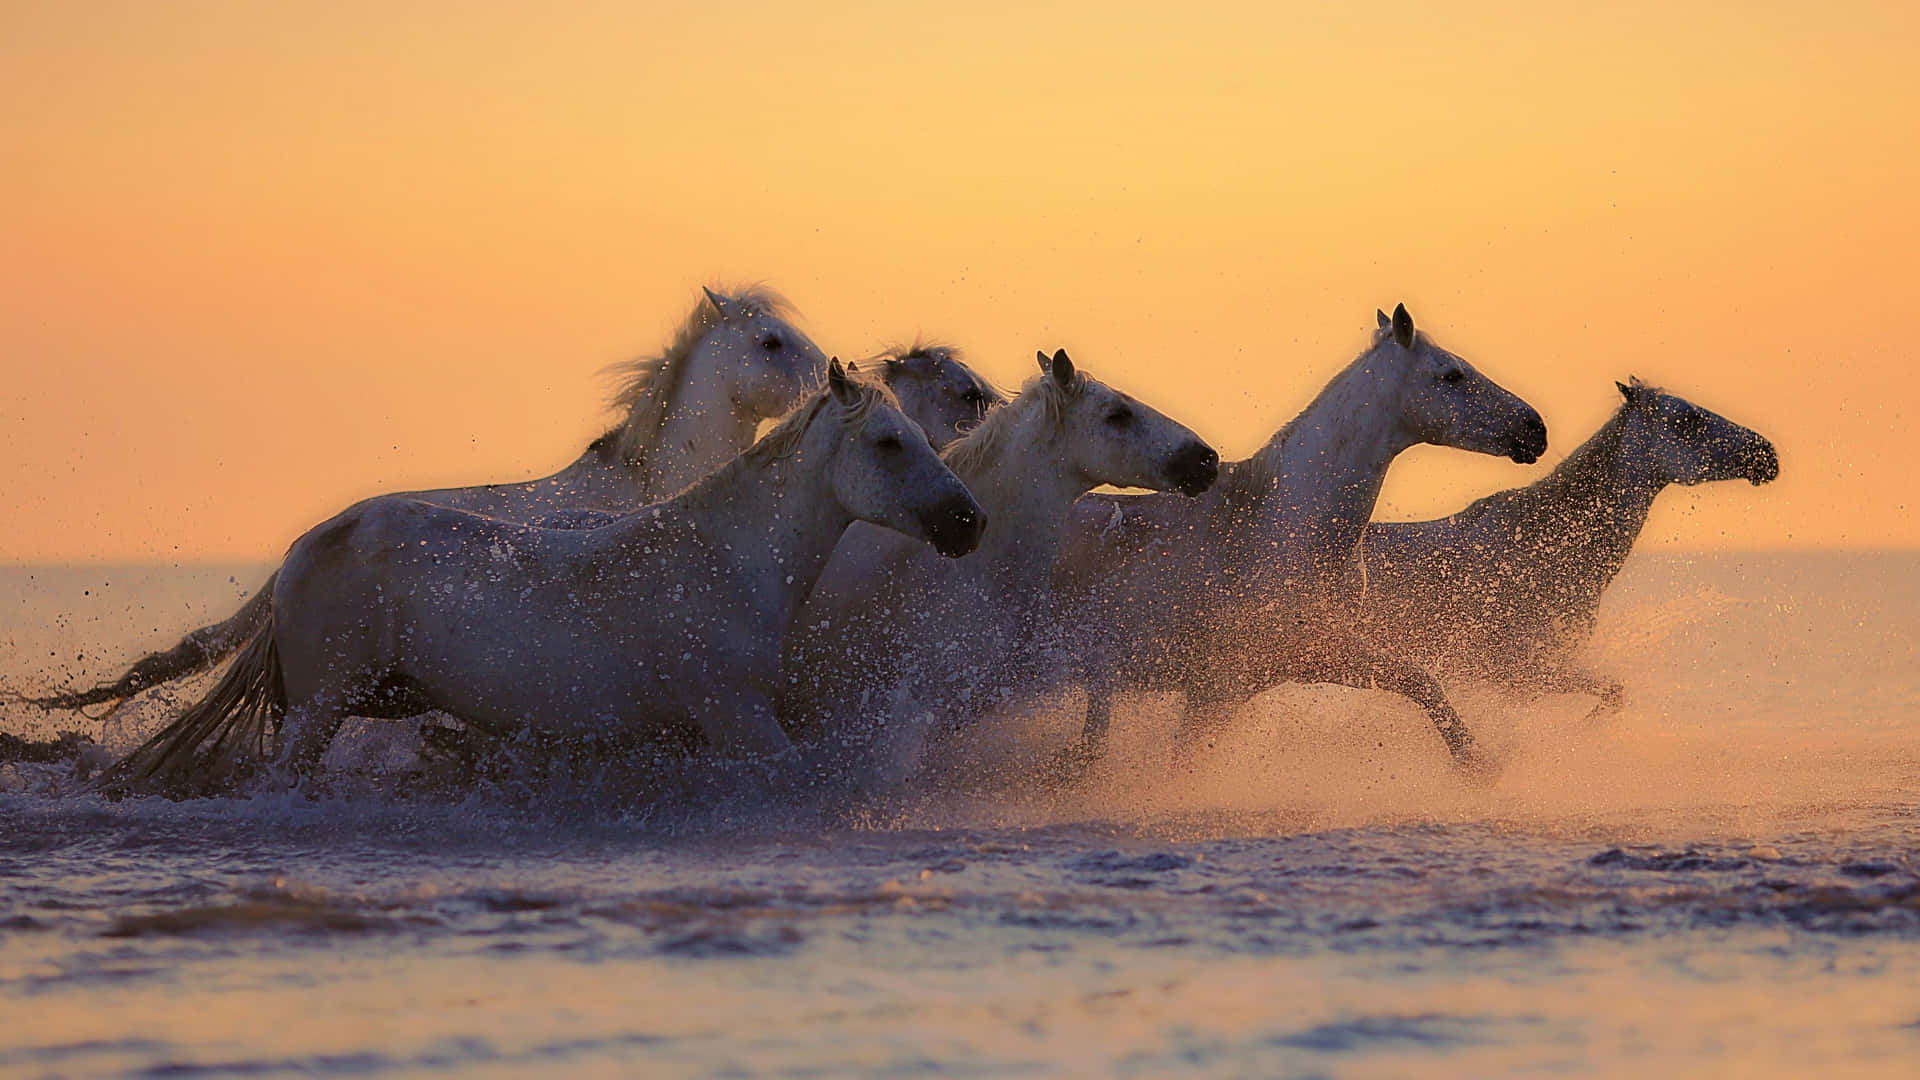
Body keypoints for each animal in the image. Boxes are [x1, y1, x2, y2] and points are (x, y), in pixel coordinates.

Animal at [95, 365, 983, 795]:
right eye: (889, 442)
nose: (967, 521)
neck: (720, 560)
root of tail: (306, 546)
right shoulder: (737, 716)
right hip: (318, 711)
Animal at [1044, 305, 1551, 772]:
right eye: (1451, 374)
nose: (1534, 429)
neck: (1286, 530)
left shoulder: (1314, 656)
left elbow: (1418, 680)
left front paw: (1476, 765)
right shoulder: (1217, 687)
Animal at [1351, 380, 1781, 707]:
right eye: (1689, 418)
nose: (1766, 454)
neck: (1548, 548)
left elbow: (1612, 694)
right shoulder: (1519, 673)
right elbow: (1608, 693)